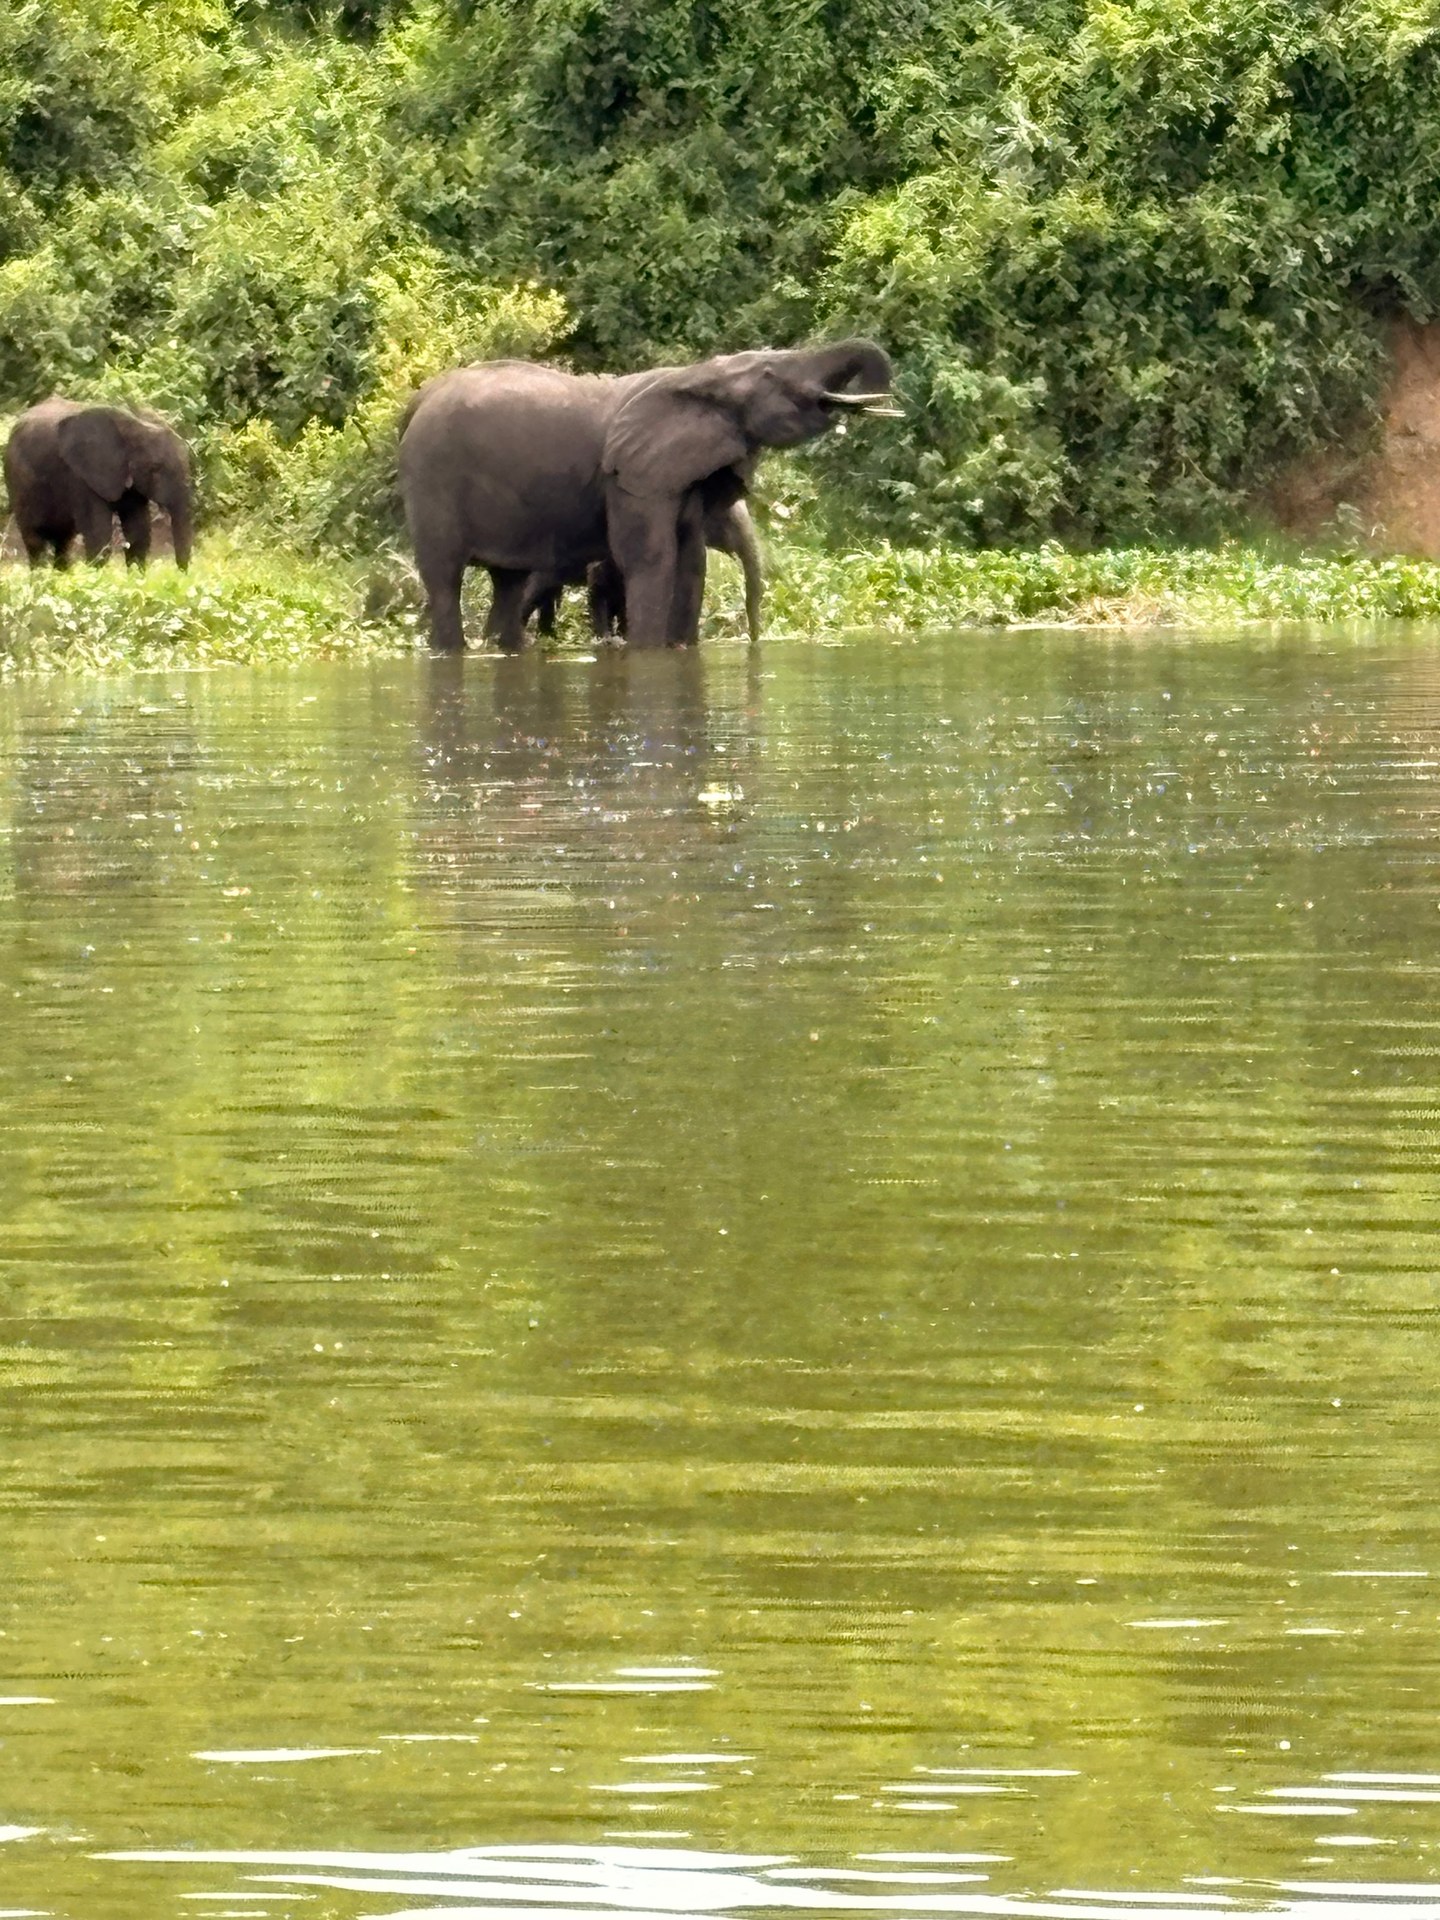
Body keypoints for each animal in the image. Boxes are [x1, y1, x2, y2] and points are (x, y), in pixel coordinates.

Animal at [4, 396, 194, 569]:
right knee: (35, 540)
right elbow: (99, 534)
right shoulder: (81, 476)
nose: (181, 573)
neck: (134, 423)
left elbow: (138, 532)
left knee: (63, 541)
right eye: (155, 468)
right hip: (18, 481)